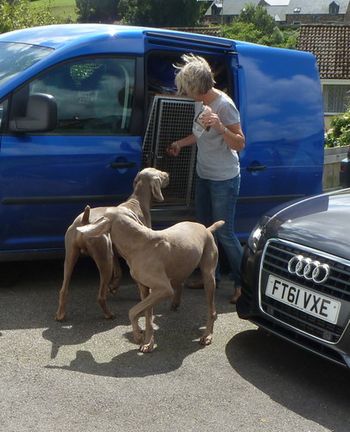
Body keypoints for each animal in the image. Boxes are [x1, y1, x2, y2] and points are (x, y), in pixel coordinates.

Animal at [55, 168, 170, 320]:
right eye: (160, 173)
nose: (168, 174)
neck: (137, 202)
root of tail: (85, 220)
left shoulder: (115, 251)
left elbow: (119, 271)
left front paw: (114, 287)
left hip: (72, 255)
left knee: (63, 289)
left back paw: (60, 314)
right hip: (104, 258)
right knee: (100, 296)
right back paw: (109, 314)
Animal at [78, 208, 224, 352]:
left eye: (100, 217)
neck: (138, 245)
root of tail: (206, 228)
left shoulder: (163, 289)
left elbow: (132, 311)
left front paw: (138, 336)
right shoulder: (145, 289)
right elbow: (147, 317)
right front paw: (148, 342)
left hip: (208, 276)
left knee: (212, 309)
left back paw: (207, 335)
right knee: (180, 283)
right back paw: (175, 304)